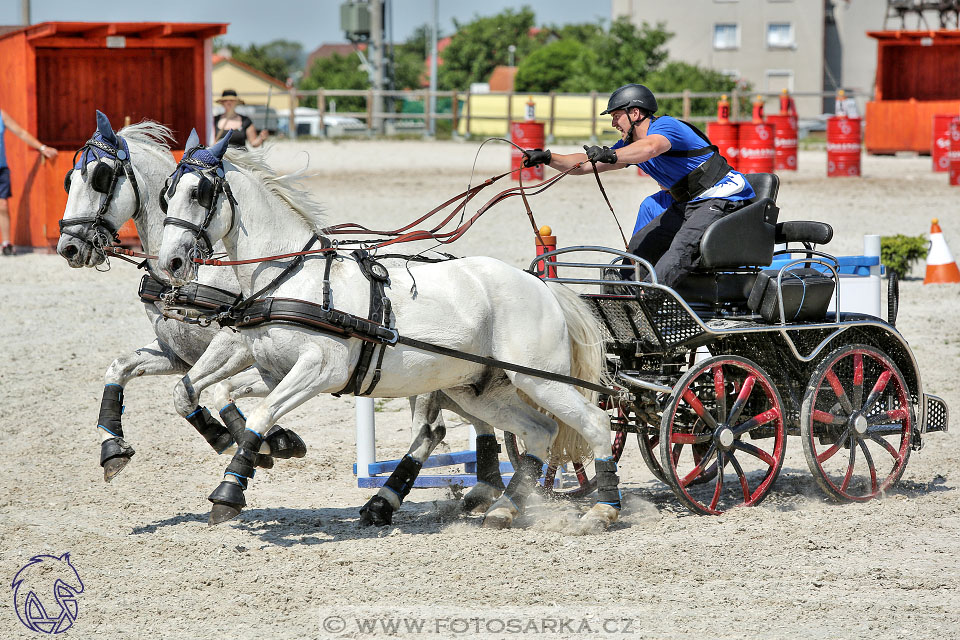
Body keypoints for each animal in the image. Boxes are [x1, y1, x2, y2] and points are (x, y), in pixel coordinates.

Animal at [156, 132, 624, 528]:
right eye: (166, 194)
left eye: (200, 192)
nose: (170, 262)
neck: (288, 277)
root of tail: (542, 284)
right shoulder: (270, 368)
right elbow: (212, 393)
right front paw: (258, 445)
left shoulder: (319, 370)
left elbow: (260, 413)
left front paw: (229, 491)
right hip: (480, 390)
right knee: (537, 432)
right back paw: (504, 506)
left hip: (540, 379)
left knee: (597, 423)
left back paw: (603, 509)